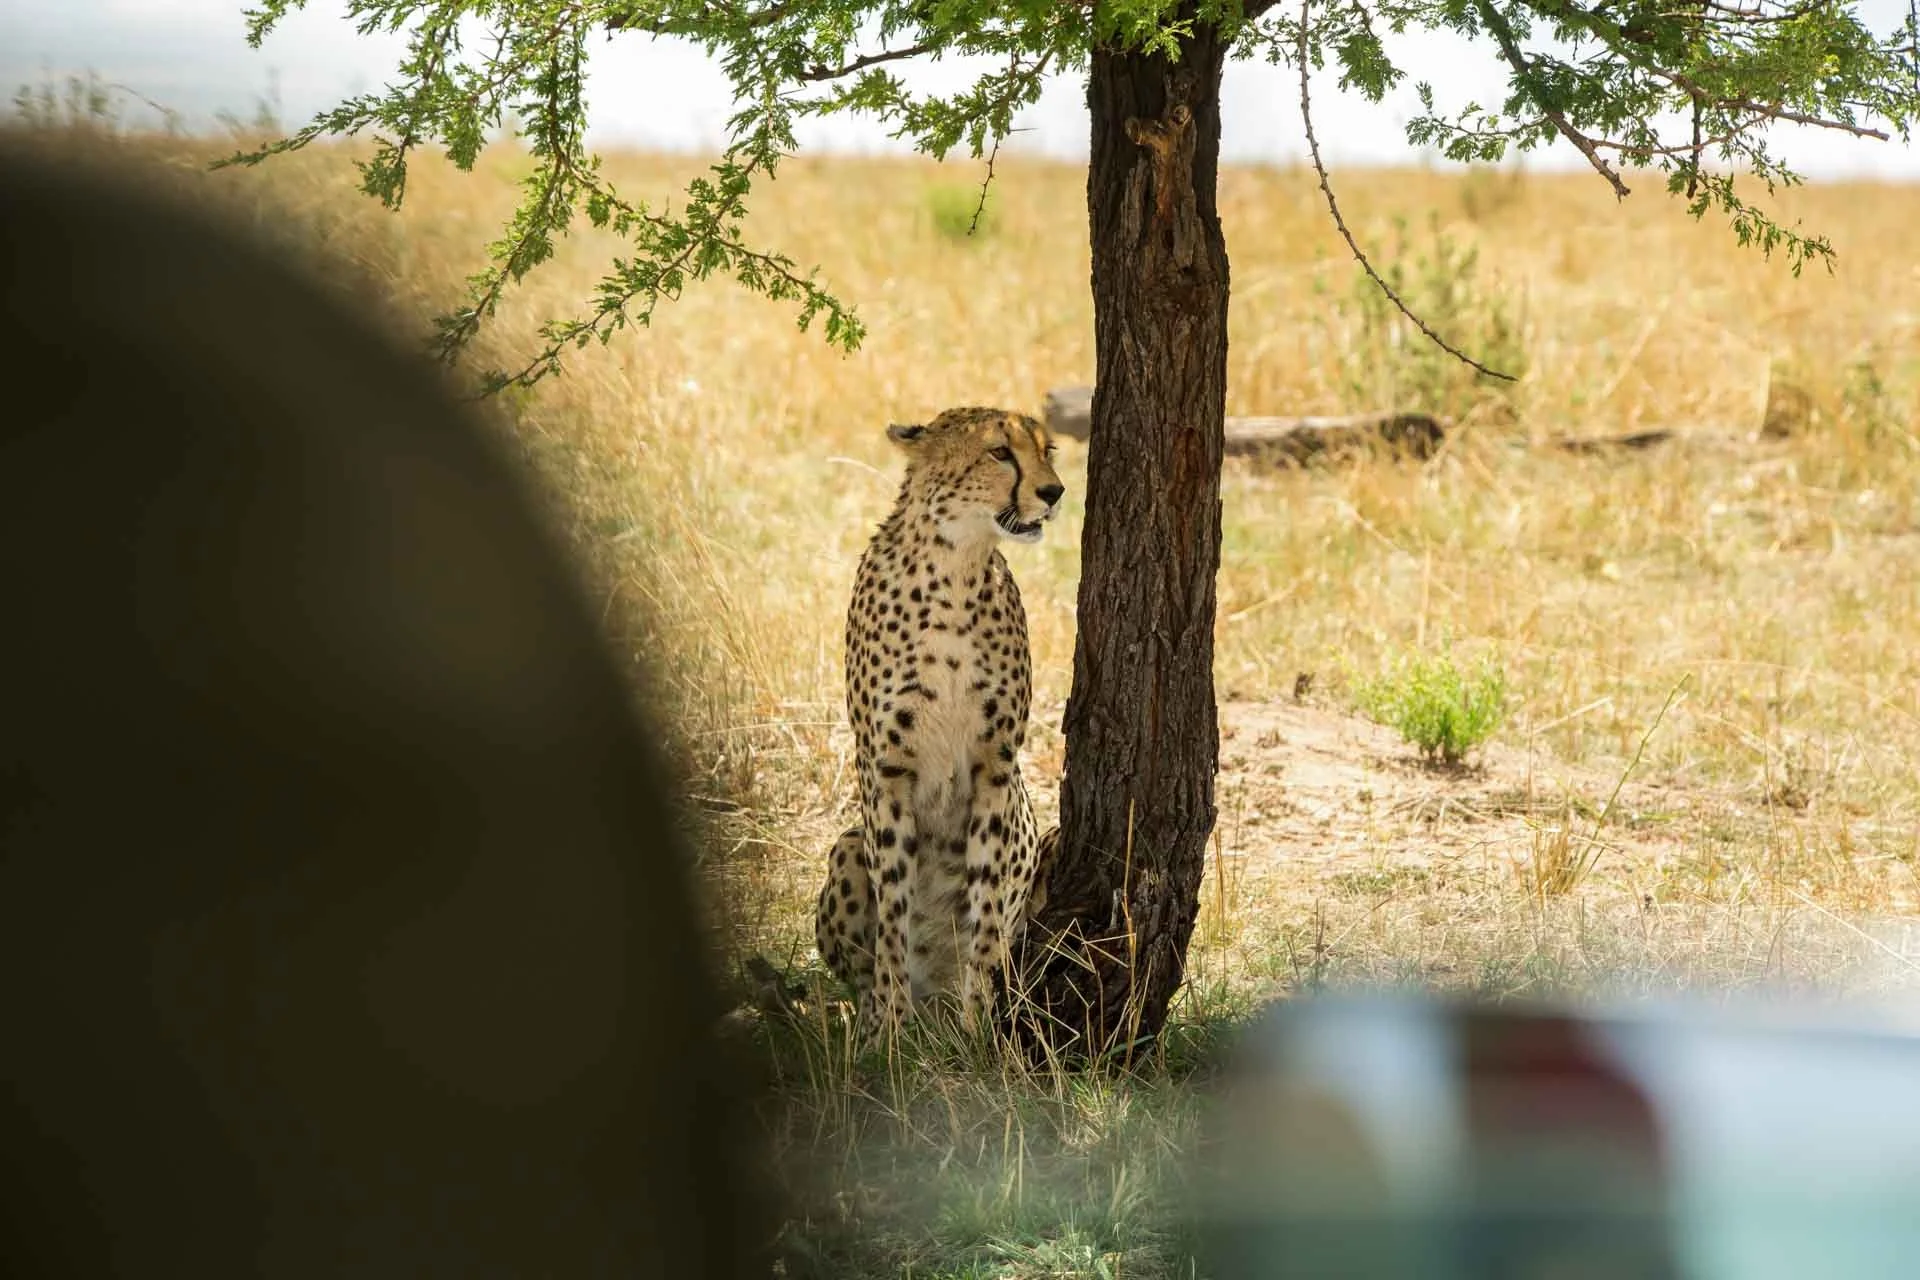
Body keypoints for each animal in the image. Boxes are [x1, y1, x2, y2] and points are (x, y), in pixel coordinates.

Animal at [813, 406, 1066, 1042]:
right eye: (1000, 452)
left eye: (1047, 450)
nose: (1054, 492)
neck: (955, 565)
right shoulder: (886, 768)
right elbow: (894, 912)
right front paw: (887, 1034)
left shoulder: (994, 766)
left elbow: (985, 908)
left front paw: (981, 1031)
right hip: (847, 845)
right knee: (859, 965)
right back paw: (876, 1017)